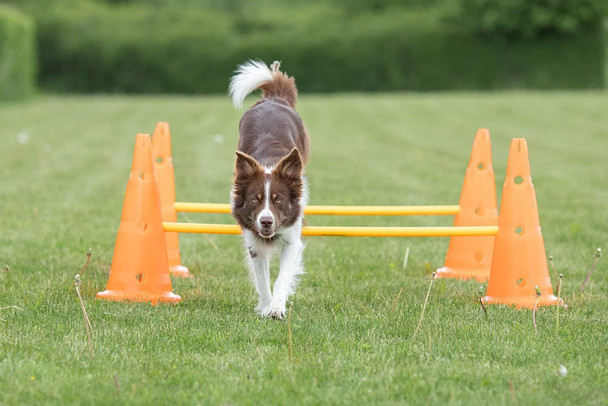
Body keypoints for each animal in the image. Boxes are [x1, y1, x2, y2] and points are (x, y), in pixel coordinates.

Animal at [230, 61, 312, 320]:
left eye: (279, 200)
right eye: (255, 200)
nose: (266, 222)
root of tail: (274, 98)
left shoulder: (293, 240)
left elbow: (281, 278)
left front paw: (277, 308)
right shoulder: (253, 242)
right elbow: (262, 280)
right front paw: (266, 307)